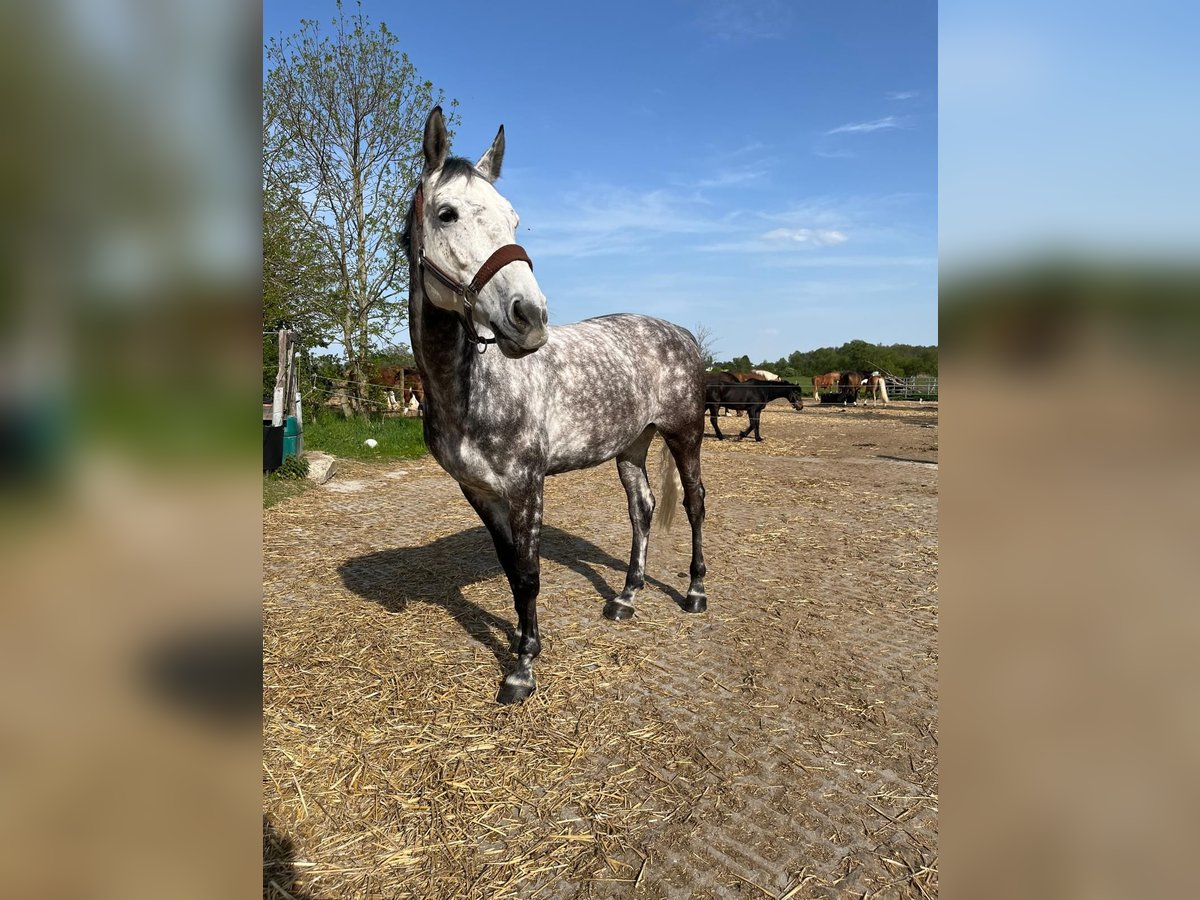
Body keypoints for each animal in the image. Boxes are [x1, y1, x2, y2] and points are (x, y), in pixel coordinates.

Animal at [403, 107, 705, 705]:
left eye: (514, 220)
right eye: (447, 214)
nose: (530, 316)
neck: (471, 387)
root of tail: (679, 332)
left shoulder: (527, 485)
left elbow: (530, 573)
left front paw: (522, 668)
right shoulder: (479, 491)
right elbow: (512, 571)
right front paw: (526, 647)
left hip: (685, 435)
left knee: (695, 504)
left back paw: (696, 592)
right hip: (632, 446)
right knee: (642, 510)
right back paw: (626, 598)